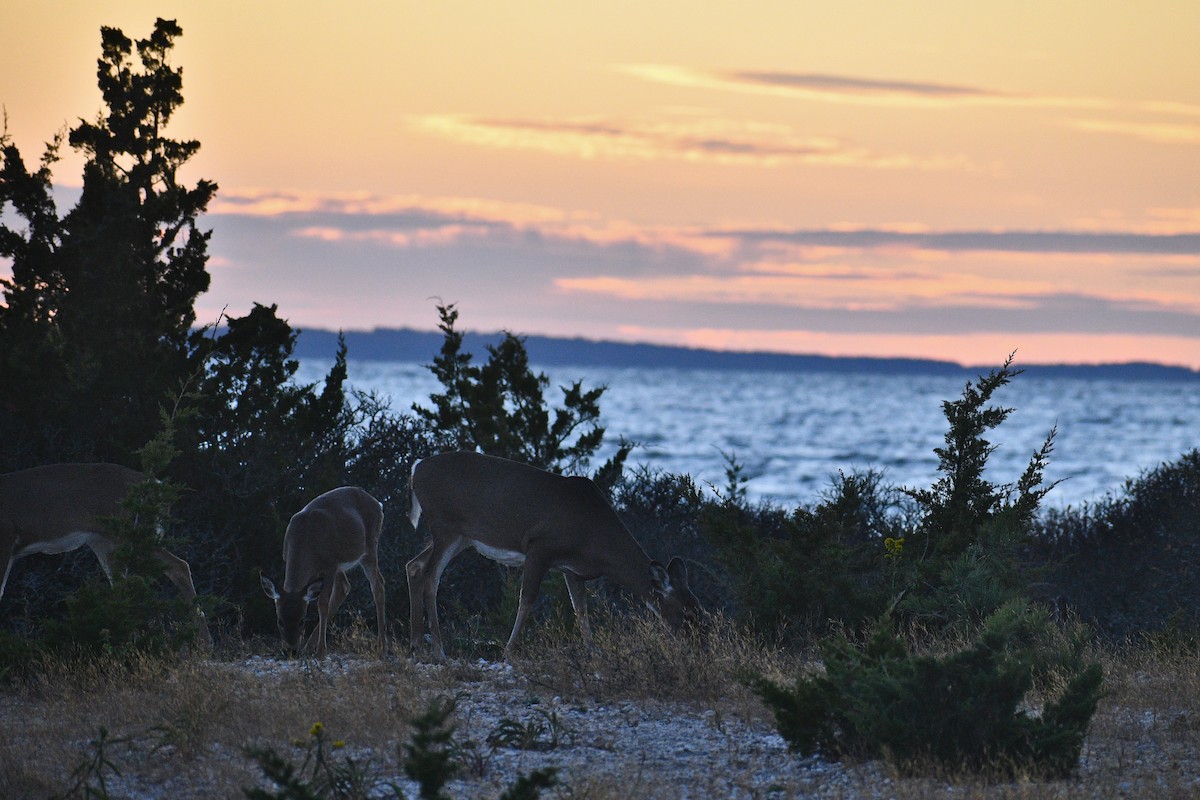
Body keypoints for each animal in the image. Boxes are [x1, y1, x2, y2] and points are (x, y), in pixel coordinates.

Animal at [0, 463, 210, 642]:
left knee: (179, 566)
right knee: (122, 585)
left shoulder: (7, 535)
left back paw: (203, 641)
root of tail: (157, 485)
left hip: (128, 534)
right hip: (105, 543)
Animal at [260, 486, 386, 658]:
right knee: (344, 587)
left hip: (369, 548)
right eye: (280, 621)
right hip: (341, 564)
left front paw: (321, 651)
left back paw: (382, 646)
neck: (305, 540)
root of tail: (378, 503)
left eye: (302, 621)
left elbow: (322, 603)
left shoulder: (329, 564)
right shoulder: (290, 557)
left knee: (377, 585)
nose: (291, 651)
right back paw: (308, 647)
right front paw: (314, 648)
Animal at [406, 451, 702, 661]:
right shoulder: (539, 546)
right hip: (445, 526)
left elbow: (580, 608)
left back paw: (417, 645)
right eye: (685, 613)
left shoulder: (572, 568)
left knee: (414, 565)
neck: (593, 535)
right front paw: (508, 652)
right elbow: (527, 598)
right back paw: (439, 651)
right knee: (431, 576)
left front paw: (593, 652)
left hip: (461, 537)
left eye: (699, 606)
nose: (699, 642)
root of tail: (416, 468)